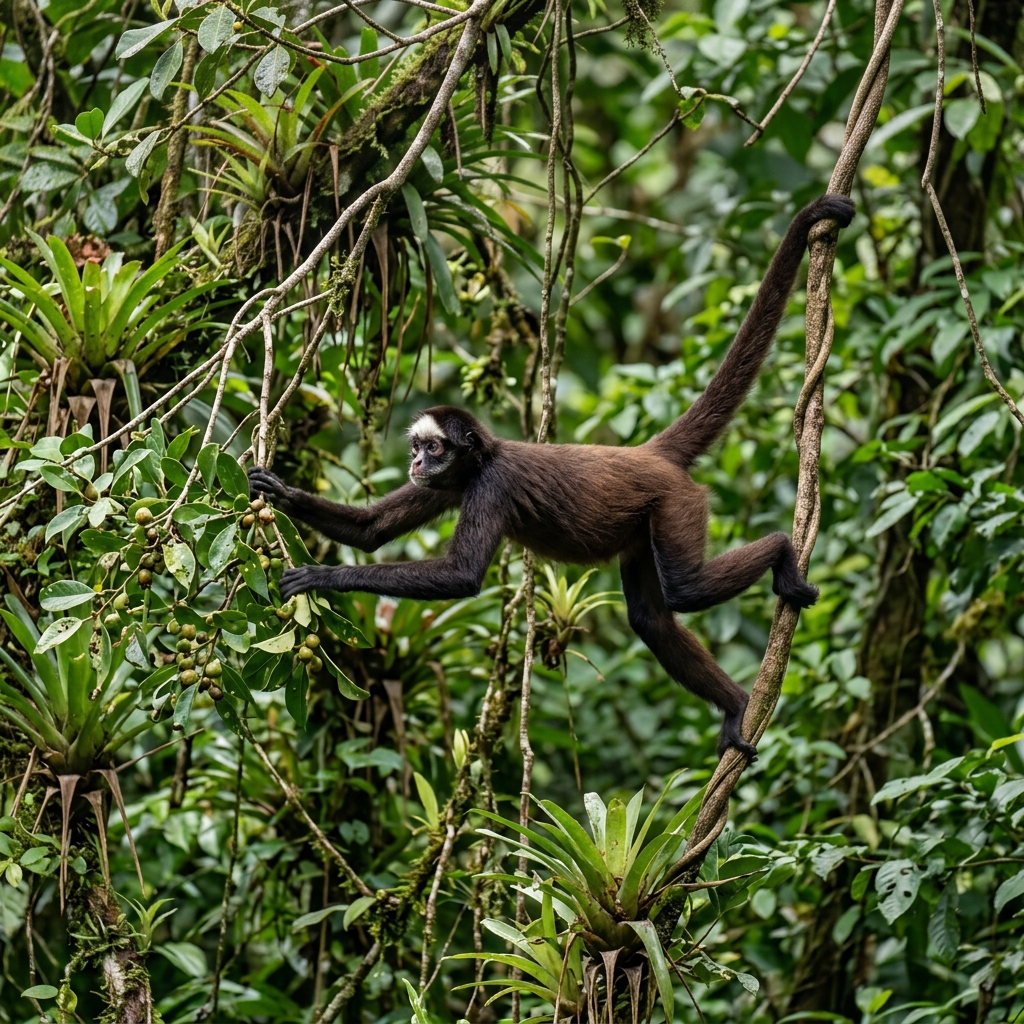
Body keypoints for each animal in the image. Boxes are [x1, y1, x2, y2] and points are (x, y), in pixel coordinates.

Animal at [248, 194, 855, 758]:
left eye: (433, 448)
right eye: (418, 449)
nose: (417, 463)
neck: (482, 460)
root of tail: (647, 454)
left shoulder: (489, 486)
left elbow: (461, 576)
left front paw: (321, 578)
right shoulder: (452, 487)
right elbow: (371, 531)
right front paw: (276, 491)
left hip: (676, 502)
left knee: (688, 588)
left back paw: (781, 551)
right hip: (645, 525)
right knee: (652, 620)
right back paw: (735, 705)